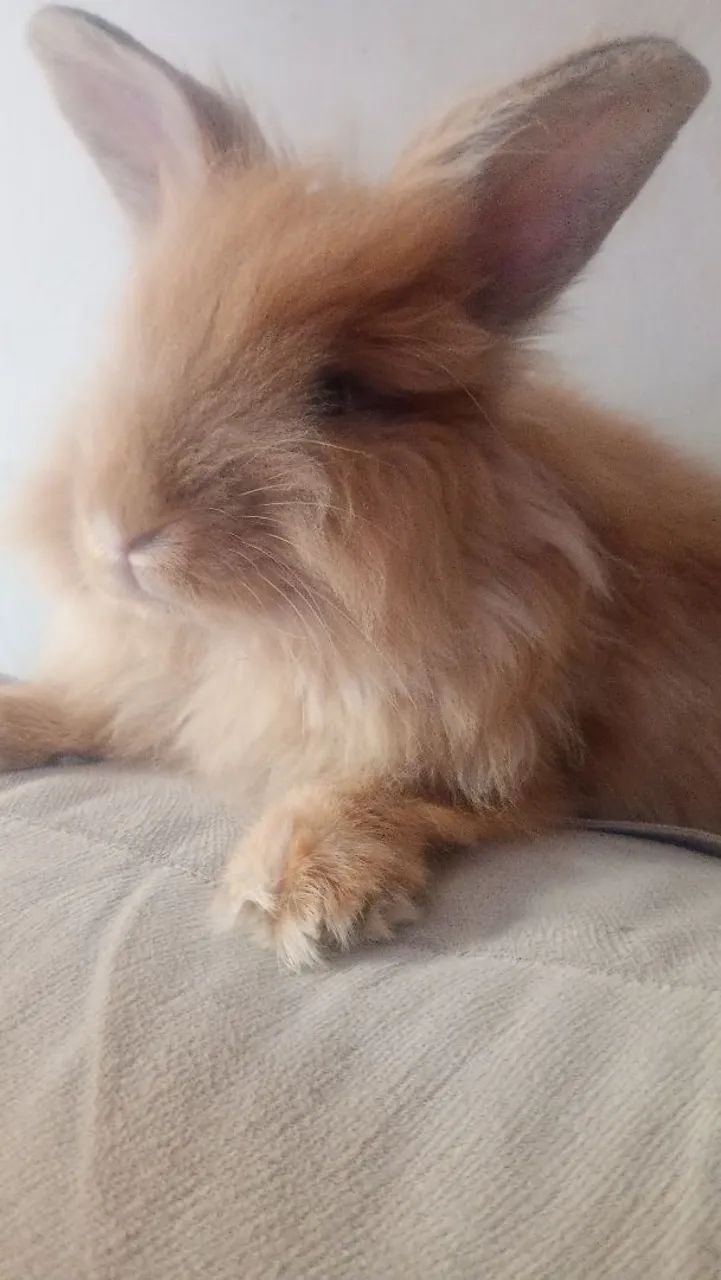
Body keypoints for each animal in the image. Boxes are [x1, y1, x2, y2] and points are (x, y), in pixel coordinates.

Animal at [4, 5, 715, 968]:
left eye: (335, 395)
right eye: (140, 344)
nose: (122, 534)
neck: (249, 636)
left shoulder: (504, 761)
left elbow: (377, 785)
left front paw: (303, 890)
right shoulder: (140, 688)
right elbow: (80, 707)